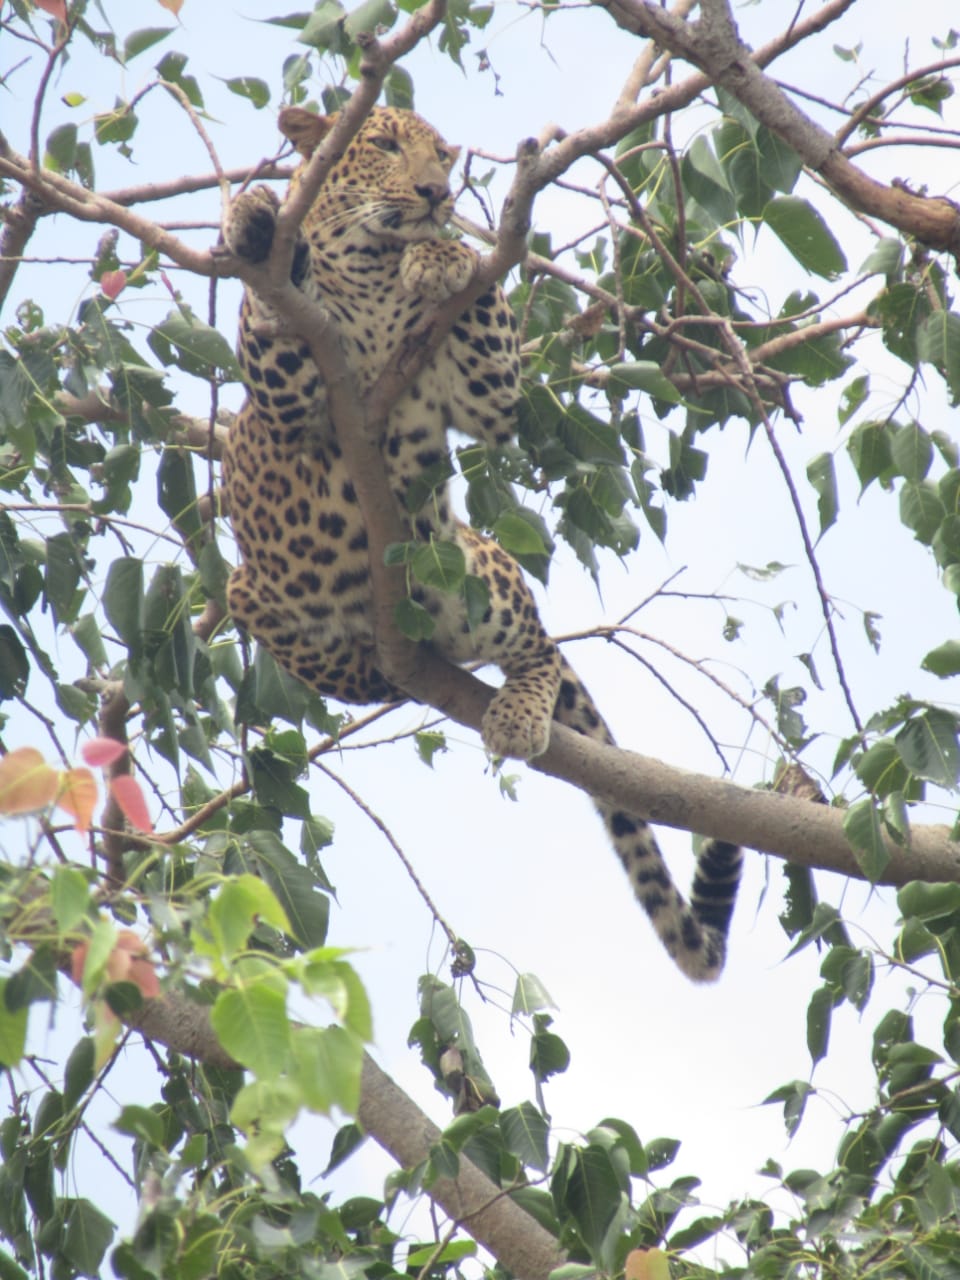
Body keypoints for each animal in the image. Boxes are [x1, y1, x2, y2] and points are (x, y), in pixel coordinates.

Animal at [224, 104, 742, 977]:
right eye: (385, 144)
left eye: (442, 154)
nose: (437, 192)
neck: (370, 266)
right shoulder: (290, 401)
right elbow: (268, 321)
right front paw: (254, 221)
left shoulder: (484, 399)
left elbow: (488, 323)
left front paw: (447, 253)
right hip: (247, 589)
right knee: (344, 670)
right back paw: (371, 664)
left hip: (476, 570)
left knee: (538, 646)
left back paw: (516, 711)